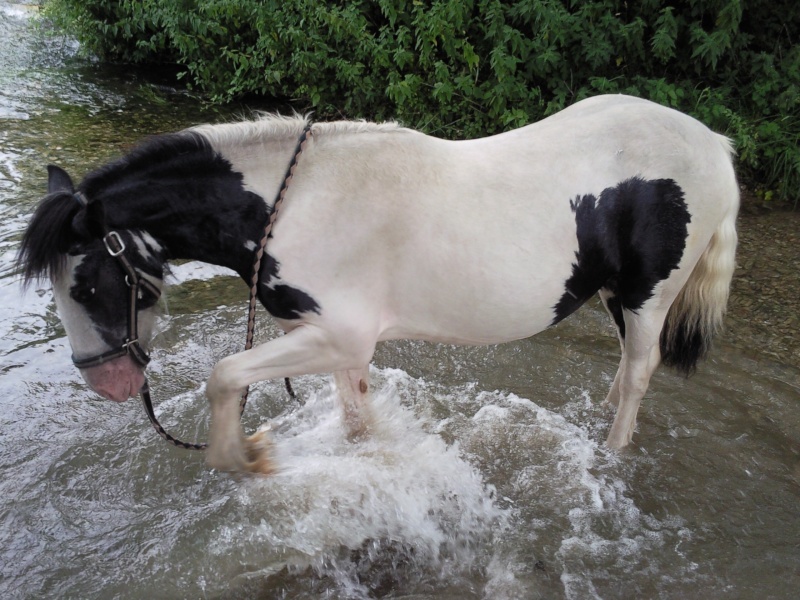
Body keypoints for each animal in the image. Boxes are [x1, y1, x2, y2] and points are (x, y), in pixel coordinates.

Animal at [15, 96, 736, 476]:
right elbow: (357, 420)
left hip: (649, 296)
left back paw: (609, 456)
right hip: (616, 295)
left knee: (639, 373)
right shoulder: (333, 344)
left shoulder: (339, 336)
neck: (295, 204)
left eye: (85, 285)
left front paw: (249, 458)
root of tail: (715, 144)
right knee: (623, 372)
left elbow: (224, 377)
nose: (106, 382)